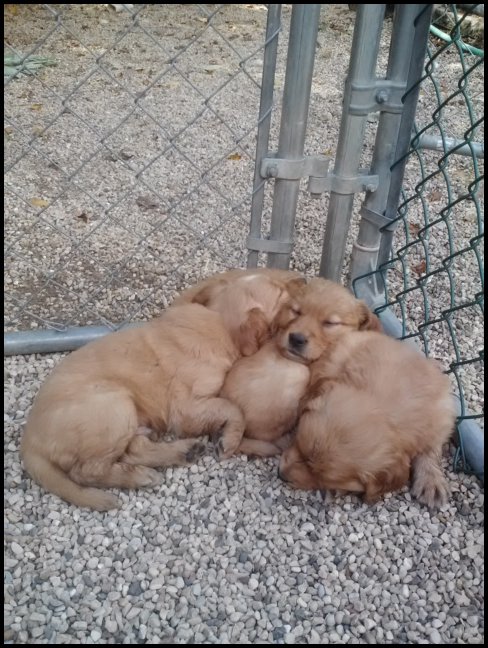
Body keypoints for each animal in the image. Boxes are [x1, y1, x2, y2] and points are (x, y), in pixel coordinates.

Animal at [21, 270, 302, 512]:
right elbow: (233, 409)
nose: (300, 281)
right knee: (88, 471)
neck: (217, 321)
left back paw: (183, 452)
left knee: (134, 449)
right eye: (280, 292)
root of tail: (29, 442)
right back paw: (140, 477)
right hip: (114, 405)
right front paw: (230, 440)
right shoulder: (186, 408)